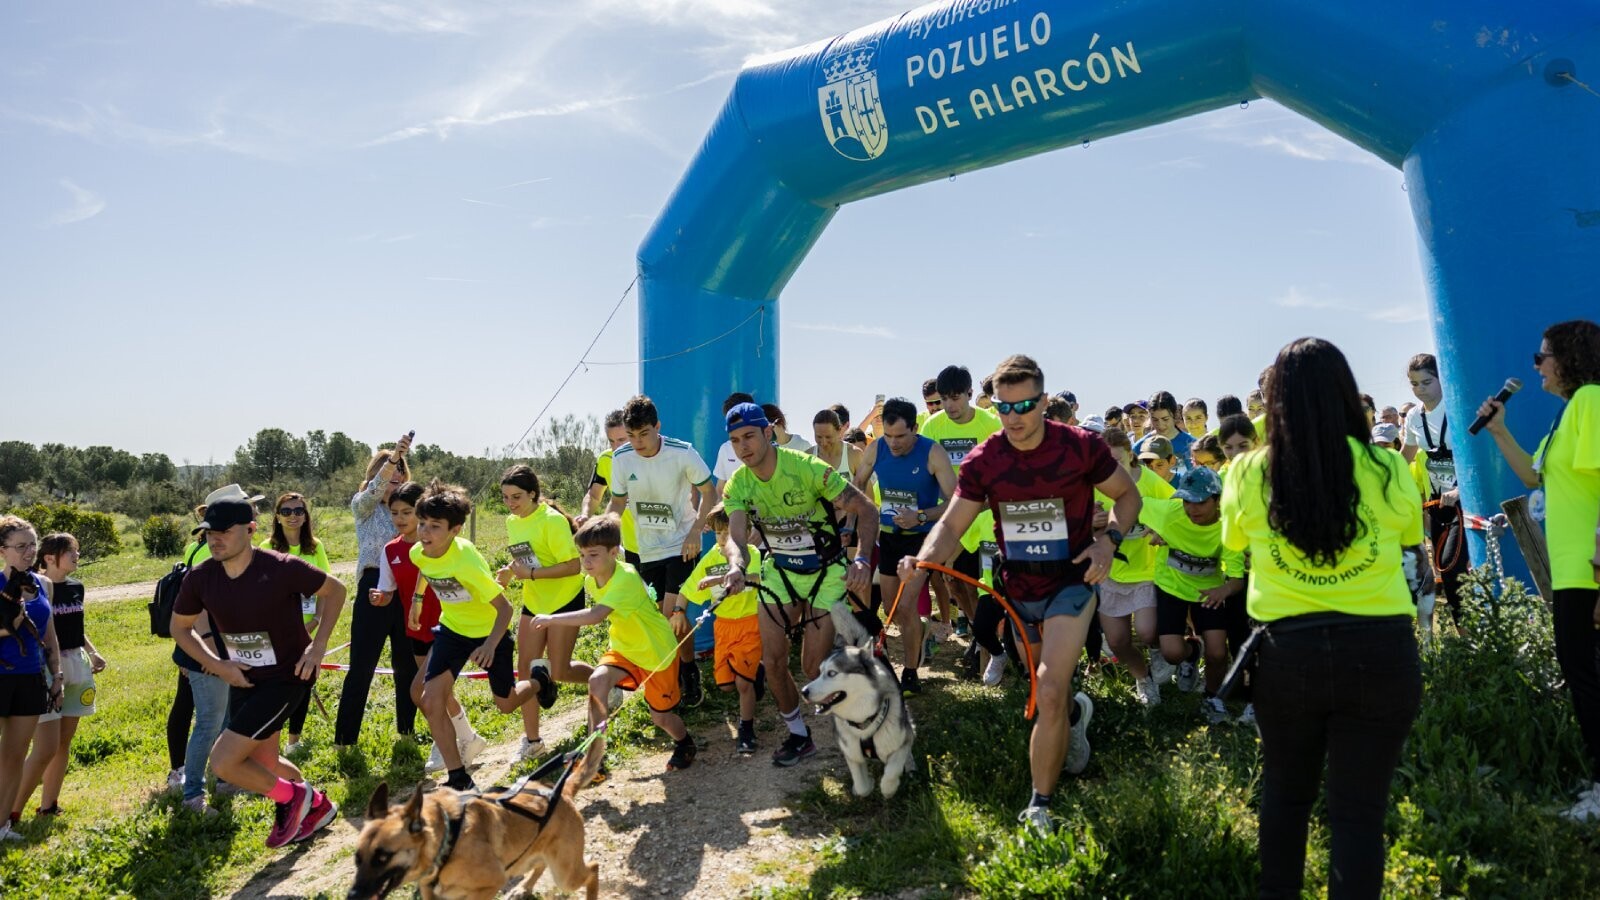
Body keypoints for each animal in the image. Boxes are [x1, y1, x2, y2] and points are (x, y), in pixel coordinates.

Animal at [347, 736, 601, 896]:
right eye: (357, 859)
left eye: (383, 857)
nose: (353, 896)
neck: (448, 835)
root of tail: (561, 792)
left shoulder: (488, 885)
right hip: (527, 857)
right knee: (539, 864)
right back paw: (524, 888)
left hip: (565, 874)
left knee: (593, 868)